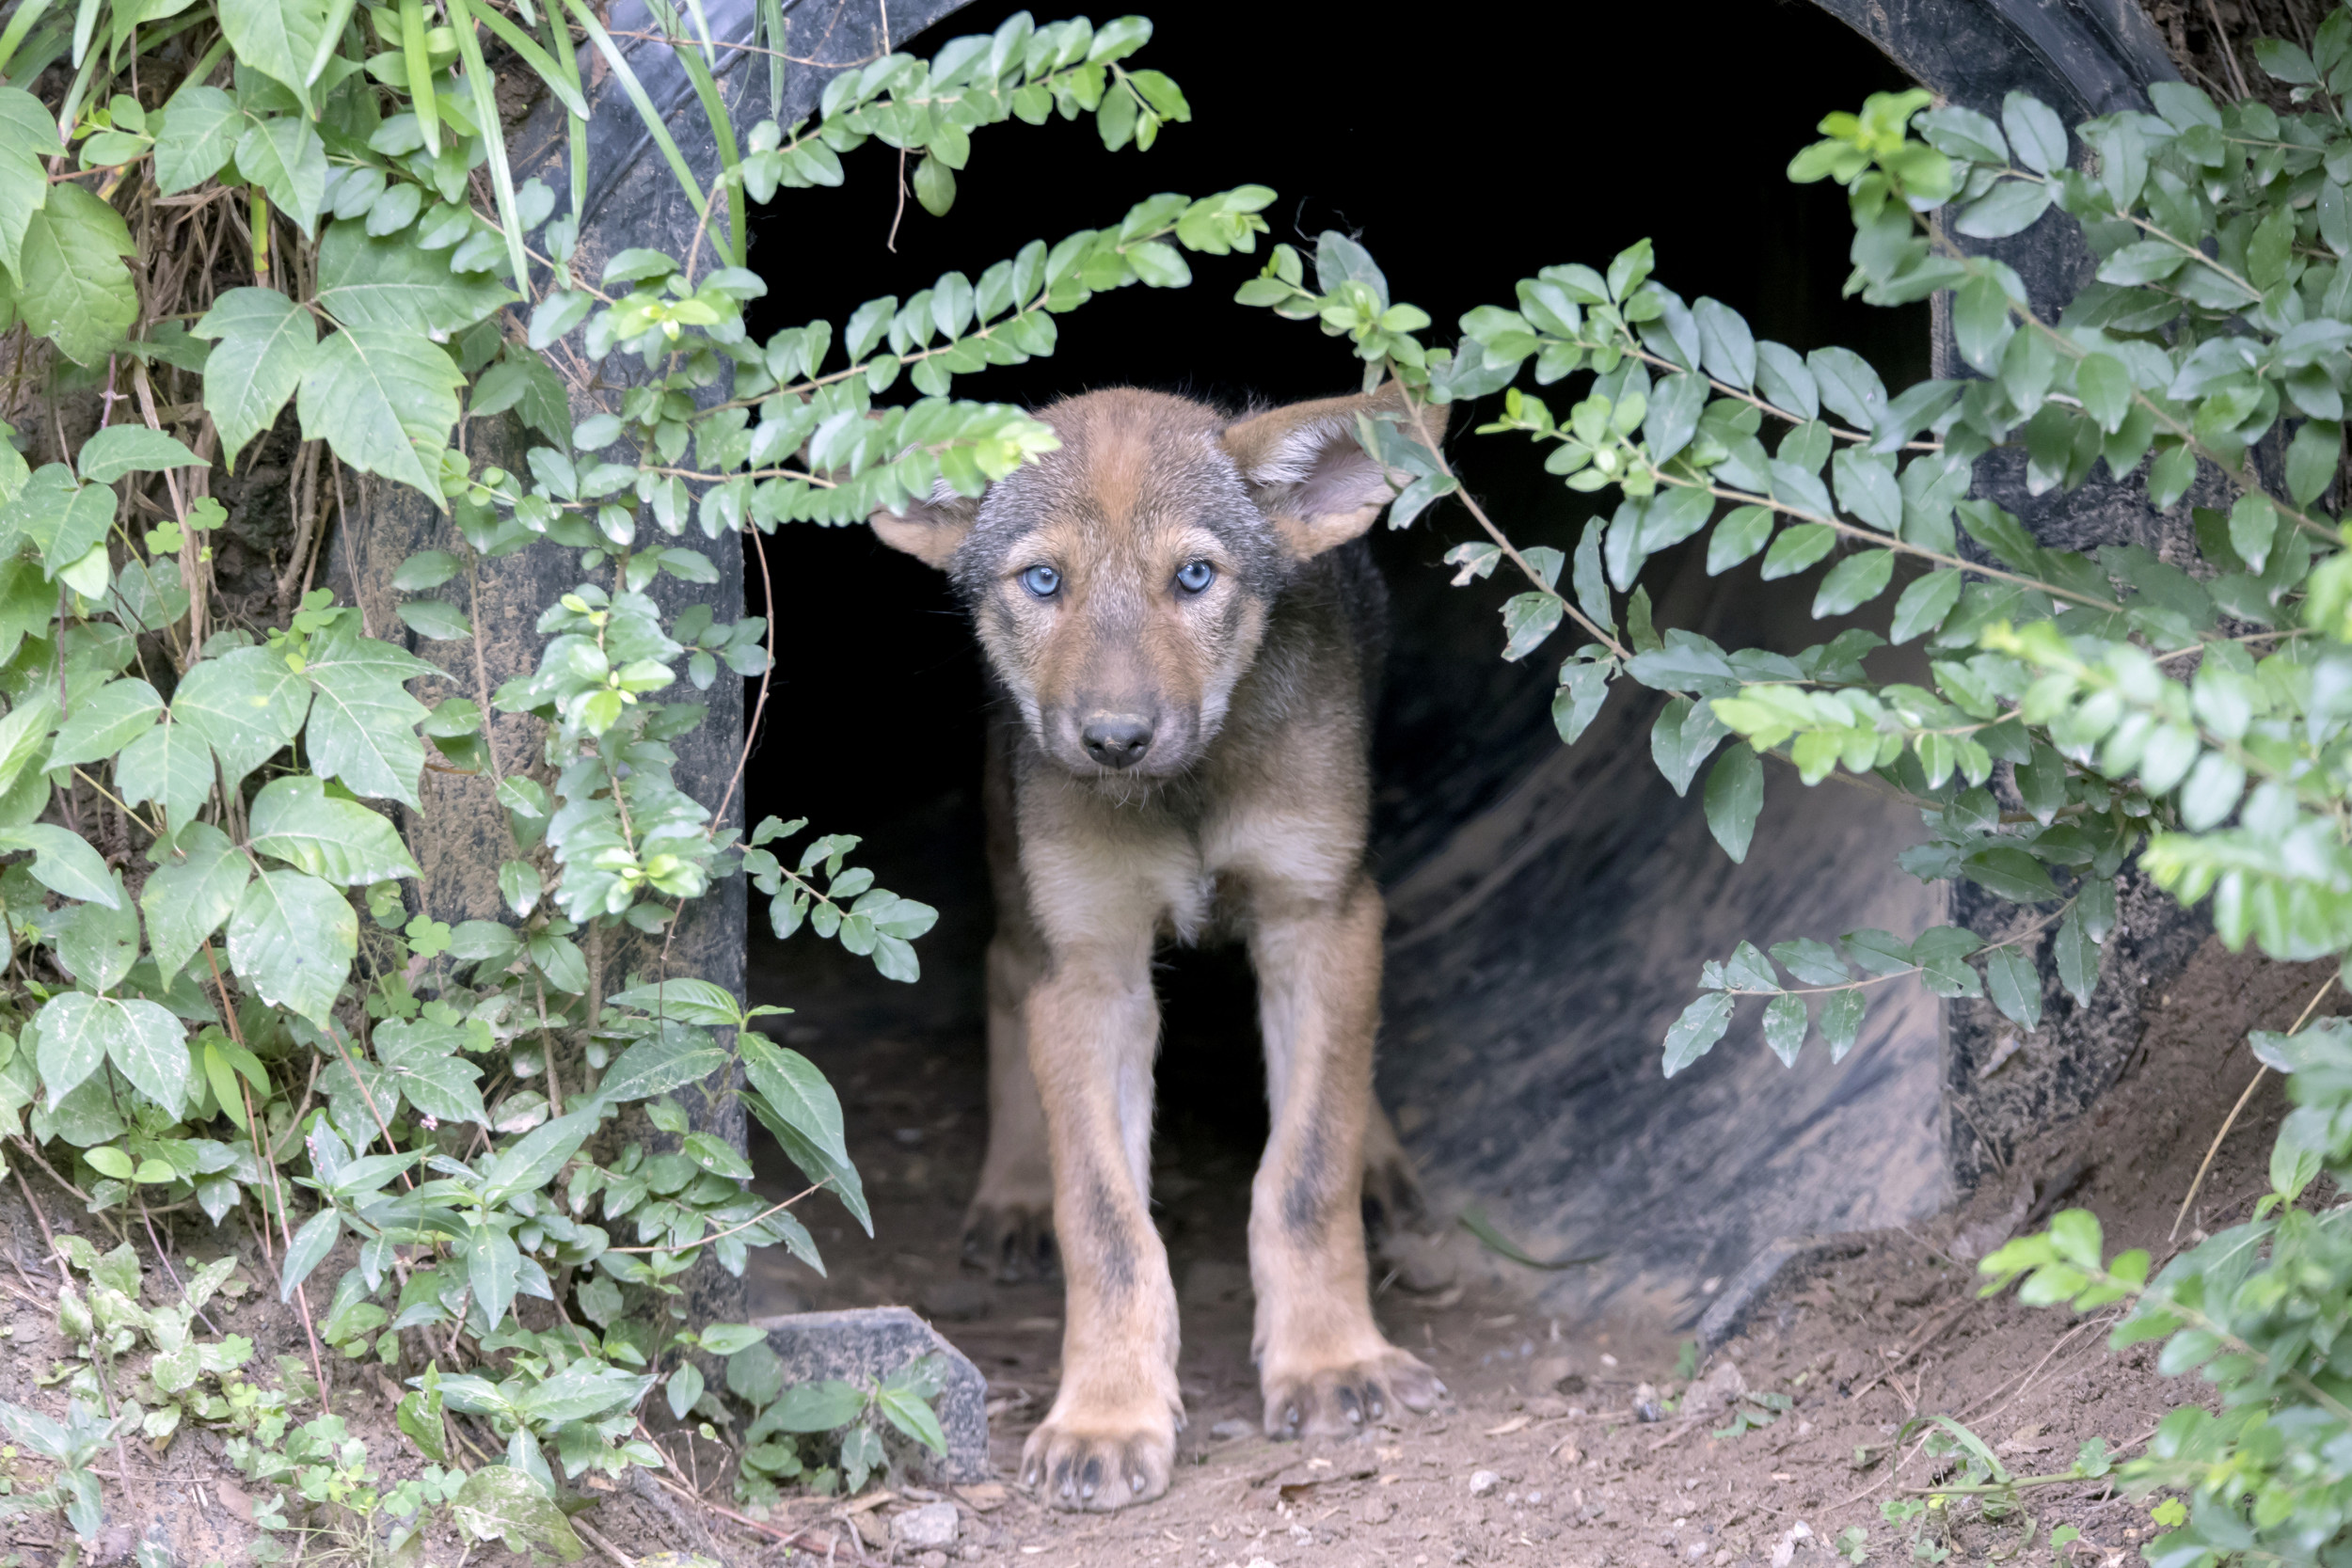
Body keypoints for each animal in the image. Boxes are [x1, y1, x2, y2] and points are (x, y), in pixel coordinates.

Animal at [880, 380, 1439, 1504]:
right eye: (1042, 580)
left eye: (1193, 577)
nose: (1114, 740)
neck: (1182, 793)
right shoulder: (1093, 967)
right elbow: (1105, 1223)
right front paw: (1105, 1415)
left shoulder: (1317, 917)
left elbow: (1306, 1172)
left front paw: (1333, 1361)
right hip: (1023, 874)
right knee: (1004, 971)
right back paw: (1012, 1191)